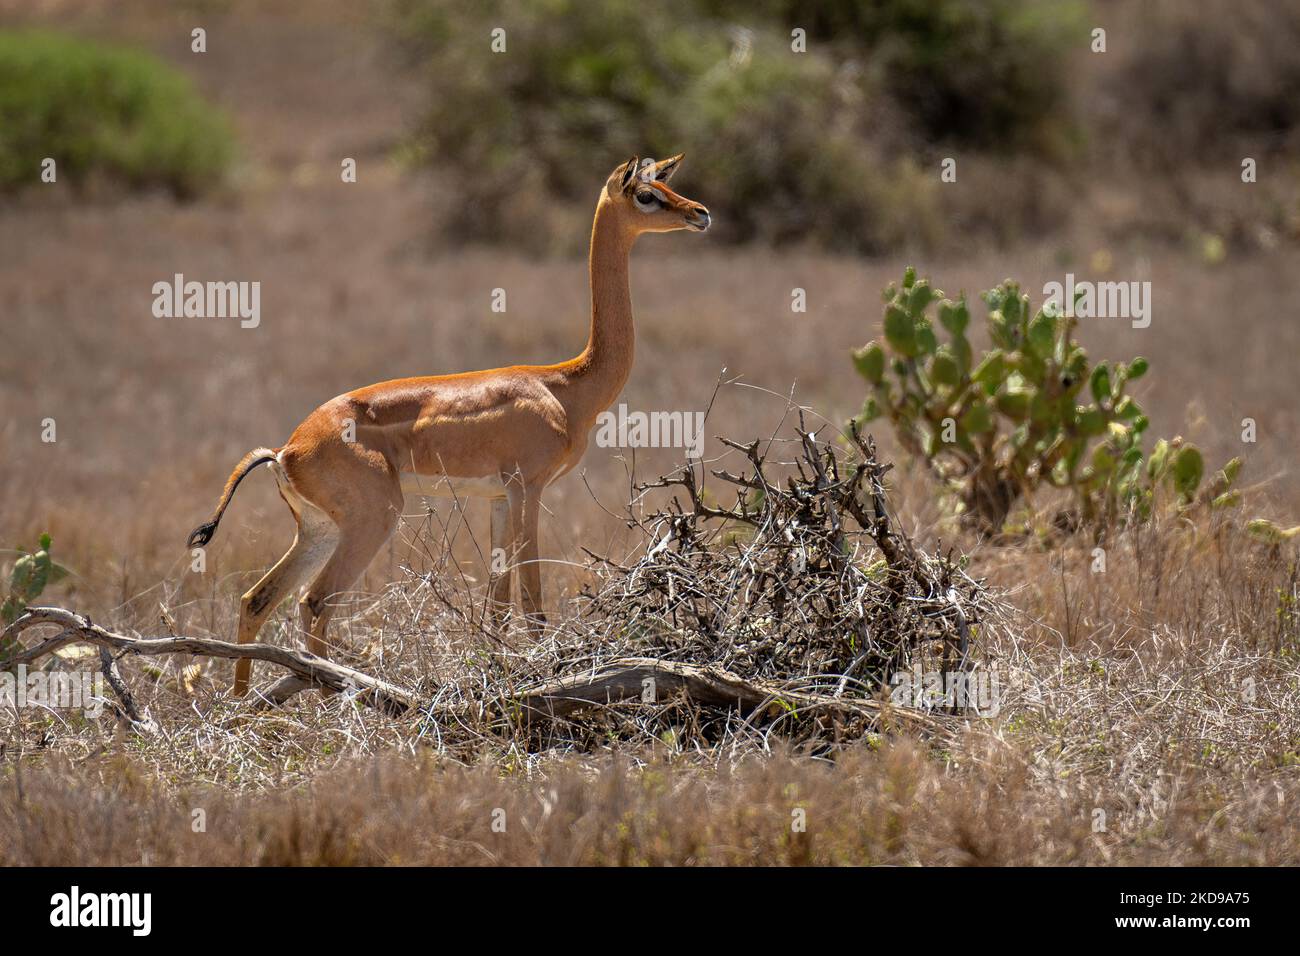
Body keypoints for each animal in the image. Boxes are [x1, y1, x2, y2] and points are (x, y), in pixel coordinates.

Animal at [187, 155, 710, 697]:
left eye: (665, 185)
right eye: (646, 195)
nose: (700, 213)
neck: (566, 385)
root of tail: (287, 450)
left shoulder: (498, 498)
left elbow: (499, 606)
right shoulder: (528, 488)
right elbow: (532, 601)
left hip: (318, 529)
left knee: (256, 600)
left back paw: (243, 705)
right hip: (373, 520)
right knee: (314, 603)